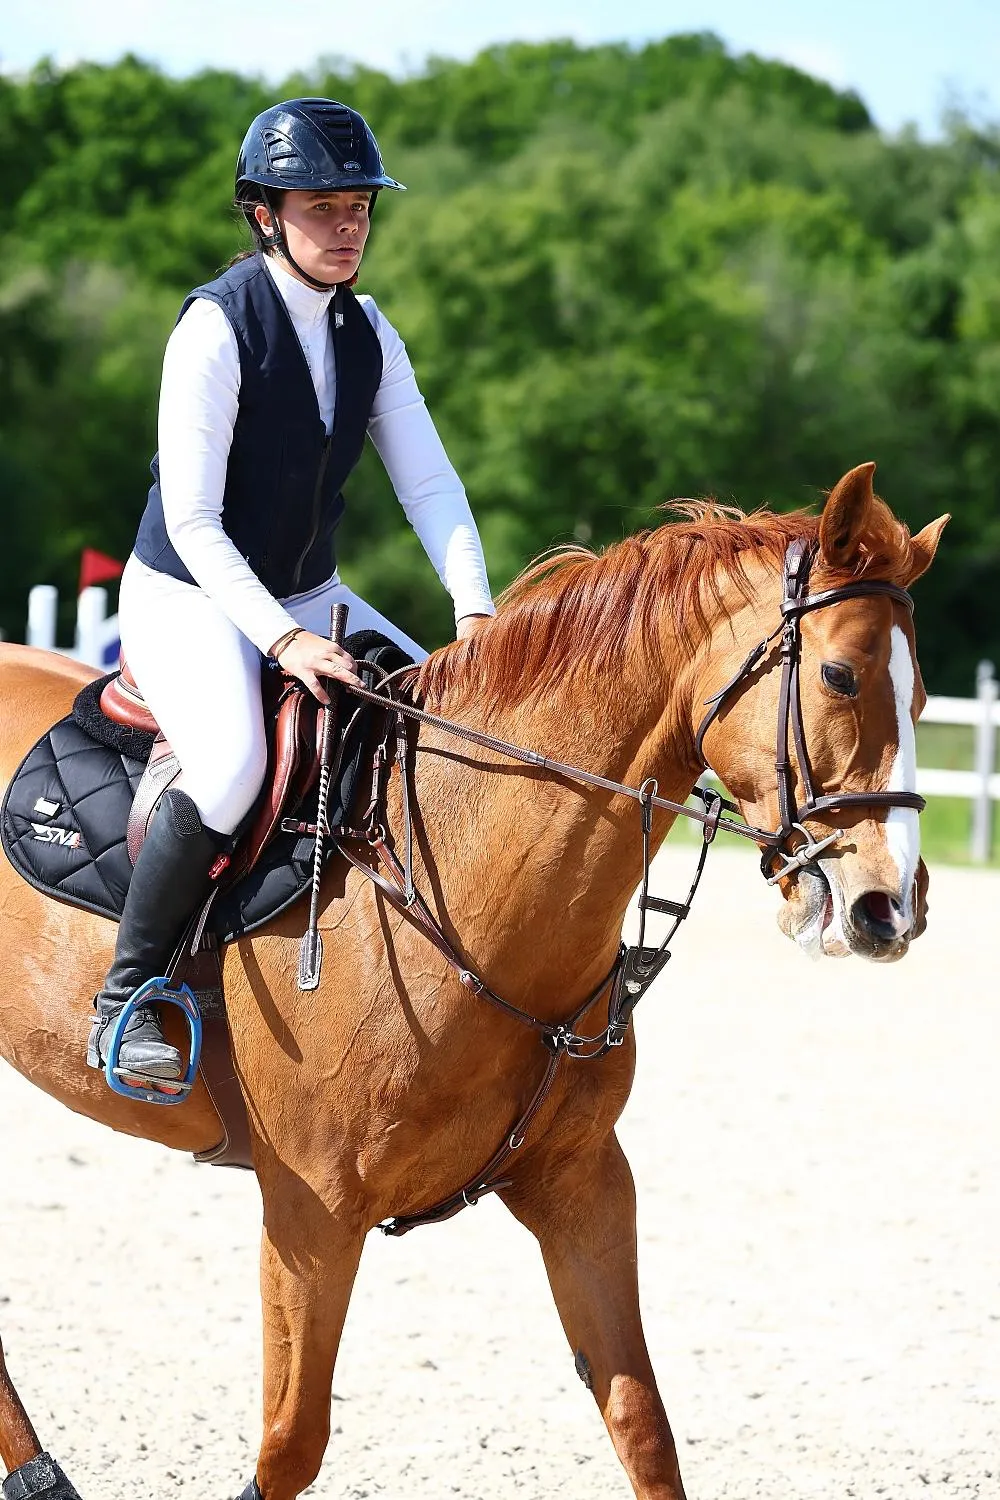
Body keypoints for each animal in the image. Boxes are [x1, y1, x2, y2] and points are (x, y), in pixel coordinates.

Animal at [0, 462, 947, 1500]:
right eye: (839, 676)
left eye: (923, 696)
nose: (888, 908)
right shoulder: (311, 1212)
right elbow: (290, 1445)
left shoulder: (581, 1184)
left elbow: (642, 1424)